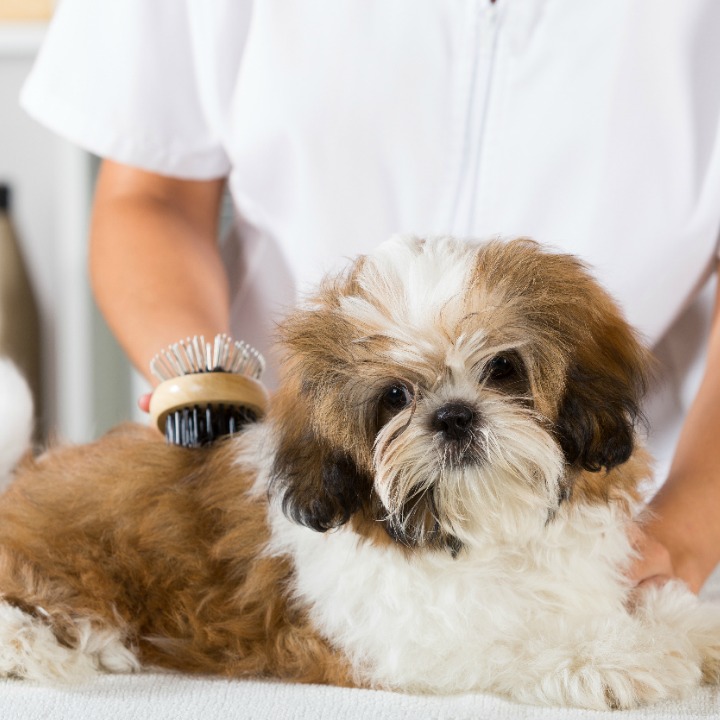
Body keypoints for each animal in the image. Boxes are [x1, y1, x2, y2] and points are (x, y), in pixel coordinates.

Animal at [1, 238, 720, 708]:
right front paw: (607, 658)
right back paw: (48, 646)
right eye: (394, 398)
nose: (453, 416)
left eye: (504, 368)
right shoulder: (398, 638)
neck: (480, 526)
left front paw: (685, 629)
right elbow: (502, 640)